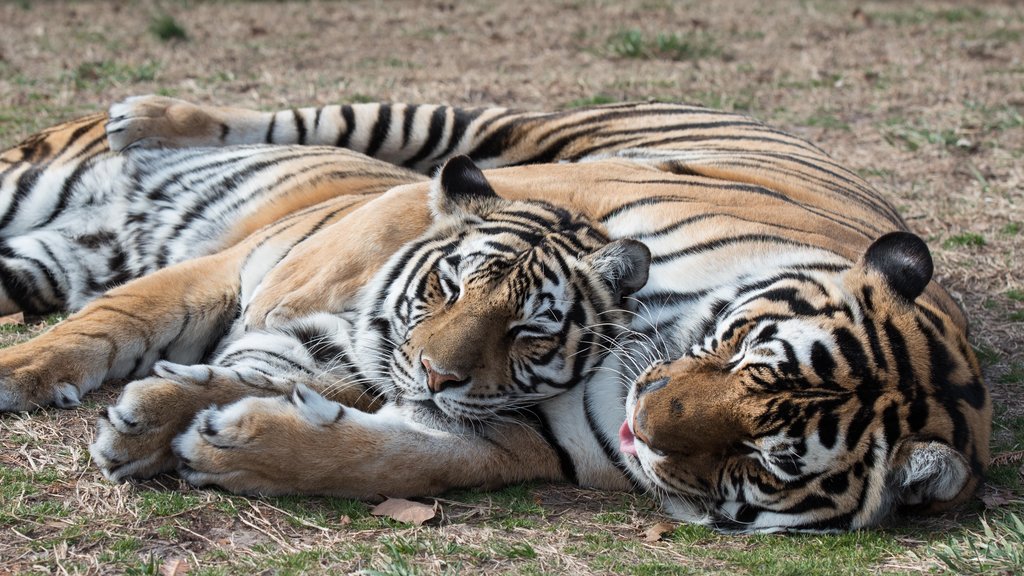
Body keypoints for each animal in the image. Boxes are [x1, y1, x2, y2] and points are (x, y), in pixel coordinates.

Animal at [0, 94, 991, 528]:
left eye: (765, 462)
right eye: (747, 347)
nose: (644, 422)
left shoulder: (516, 435)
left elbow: (380, 453)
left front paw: (214, 438)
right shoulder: (567, 194)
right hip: (488, 130)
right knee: (323, 124)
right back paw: (147, 117)